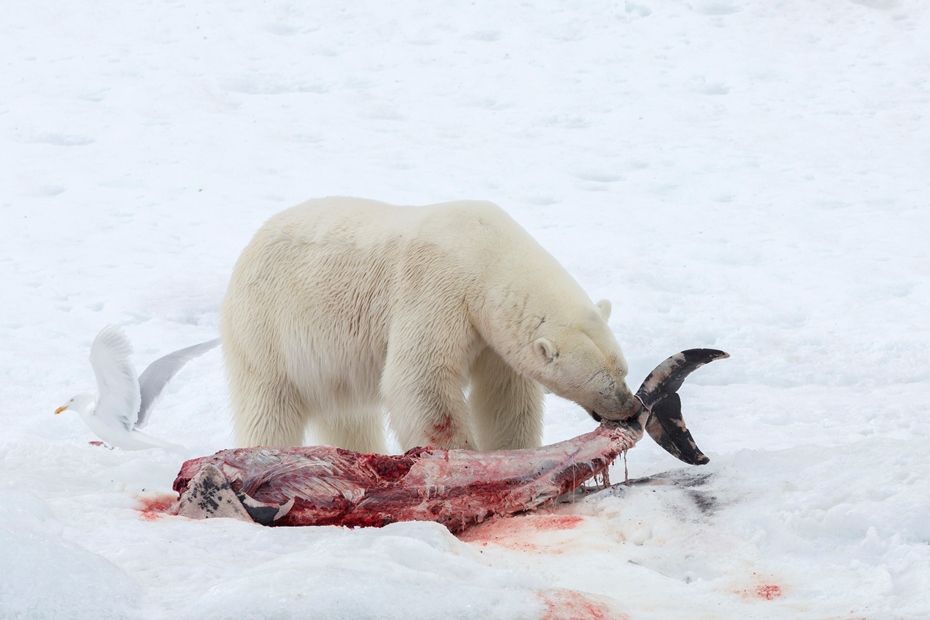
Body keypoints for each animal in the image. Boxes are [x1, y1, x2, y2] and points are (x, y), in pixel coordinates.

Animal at [219, 197, 640, 450]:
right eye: (600, 382)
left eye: (623, 369)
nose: (630, 407)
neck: (485, 252)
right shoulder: (437, 291)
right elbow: (421, 381)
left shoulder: (490, 335)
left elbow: (505, 395)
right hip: (267, 329)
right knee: (269, 408)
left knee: (349, 417)